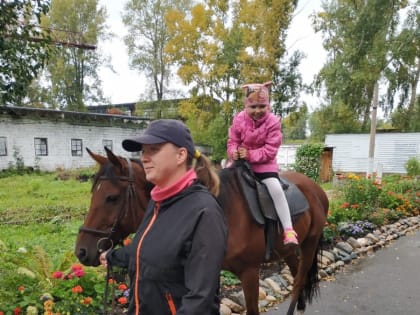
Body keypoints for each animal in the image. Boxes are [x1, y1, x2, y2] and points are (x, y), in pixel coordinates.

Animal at [75, 148, 328, 315]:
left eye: (111, 197)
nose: (81, 251)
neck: (223, 209)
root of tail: (315, 188)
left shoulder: (249, 272)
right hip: (288, 250)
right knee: (296, 274)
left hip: (309, 244)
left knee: (299, 279)